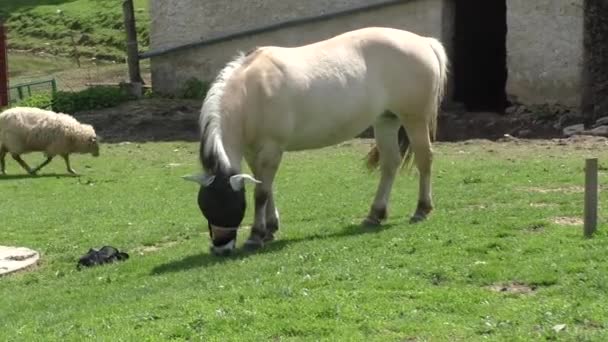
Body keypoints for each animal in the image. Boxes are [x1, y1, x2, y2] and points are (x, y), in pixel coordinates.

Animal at [183, 26, 448, 255]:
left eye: (230, 204)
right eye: (206, 205)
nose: (220, 248)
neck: (251, 92)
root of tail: (425, 42)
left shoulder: (271, 148)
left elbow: (261, 193)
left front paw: (256, 236)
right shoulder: (252, 152)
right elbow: (266, 187)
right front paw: (270, 228)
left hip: (414, 118)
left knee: (425, 158)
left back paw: (422, 209)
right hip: (386, 120)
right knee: (390, 163)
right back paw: (375, 214)